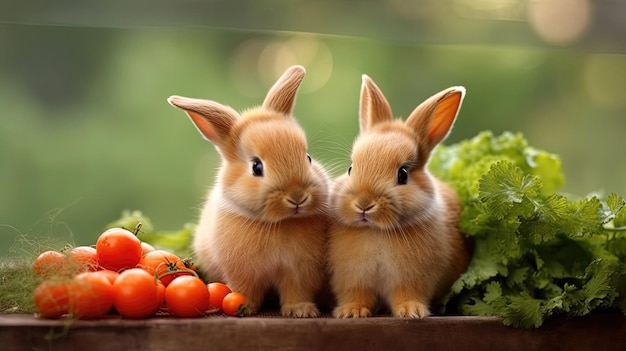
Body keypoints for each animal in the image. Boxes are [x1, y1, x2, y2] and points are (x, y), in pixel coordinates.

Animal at [166, 66, 332, 320]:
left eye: (308, 158)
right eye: (256, 167)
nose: (297, 197)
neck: (279, 223)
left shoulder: (300, 270)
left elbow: (296, 290)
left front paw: (301, 310)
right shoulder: (241, 271)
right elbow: (245, 289)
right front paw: (245, 307)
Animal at [326, 74, 468, 320]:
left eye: (403, 174)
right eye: (351, 169)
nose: (364, 204)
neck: (376, 232)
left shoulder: (413, 279)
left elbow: (407, 295)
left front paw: (412, 312)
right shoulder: (352, 278)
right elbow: (356, 294)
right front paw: (352, 312)